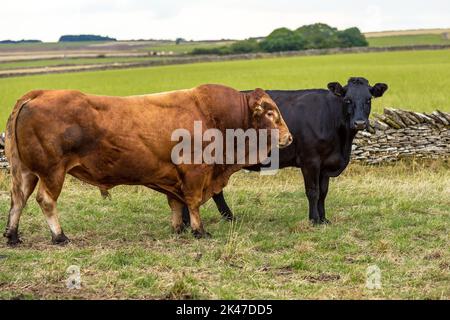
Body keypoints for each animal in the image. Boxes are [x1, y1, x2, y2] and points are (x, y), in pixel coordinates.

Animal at [4, 84, 292, 244]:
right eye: (270, 113)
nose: (289, 137)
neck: (213, 115)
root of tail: (38, 94)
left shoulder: (173, 177)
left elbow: (176, 203)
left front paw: (178, 229)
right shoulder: (195, 173)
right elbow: (193, 203)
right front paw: (199, 230)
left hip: (25, 172)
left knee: (18, 199)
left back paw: (13, 235)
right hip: (52, 172)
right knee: (45, 200)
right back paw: (59, 236)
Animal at [182, 76, 386, 224]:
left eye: (369, 99)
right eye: (347, 100)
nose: (360, 123)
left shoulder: (326, 163)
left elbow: (323, 192)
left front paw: (324, 219)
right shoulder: (310, 160)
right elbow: (313, 191)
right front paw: (314, 220)